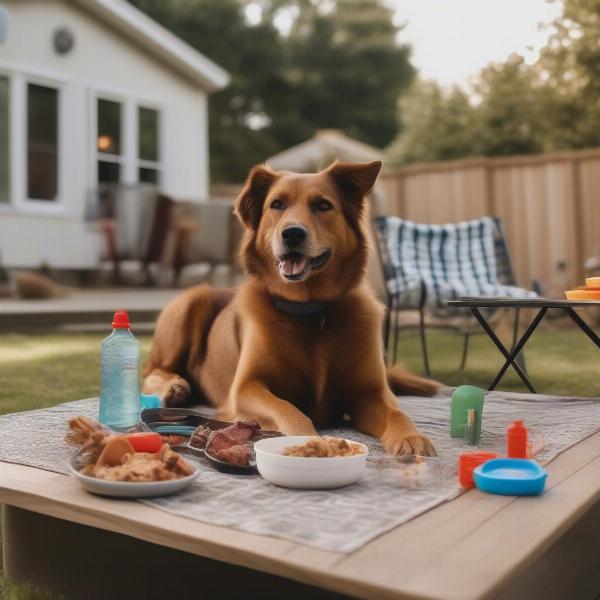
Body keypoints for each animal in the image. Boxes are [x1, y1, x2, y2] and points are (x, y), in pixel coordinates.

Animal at [143, 161, 438, 454]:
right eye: (277, 204)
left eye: (323, 205)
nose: (293, 233)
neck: (309, 310)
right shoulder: (246, 387)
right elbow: (289, 410)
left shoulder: (370, 392)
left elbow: (397, 413)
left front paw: (411, 437)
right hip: (191, 302)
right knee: (154, 369)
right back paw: (174, 388)